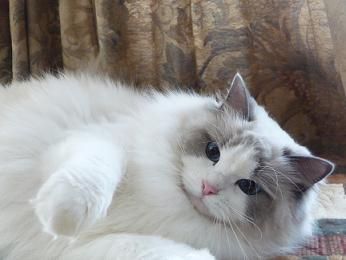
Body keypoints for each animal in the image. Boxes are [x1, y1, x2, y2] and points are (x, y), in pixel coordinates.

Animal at [0, 71, 334, 260]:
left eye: (248, 186)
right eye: (213, 152)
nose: (208, 188)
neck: (166, 202)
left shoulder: (84, 248)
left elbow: (173, 254)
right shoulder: (95, 140)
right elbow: (92, 178)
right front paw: (64, 219)